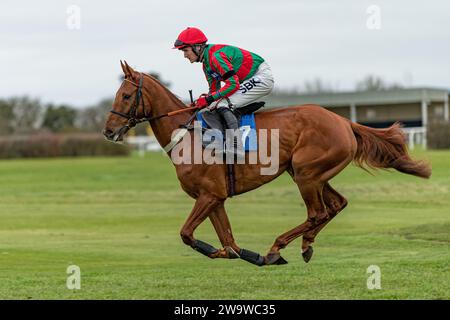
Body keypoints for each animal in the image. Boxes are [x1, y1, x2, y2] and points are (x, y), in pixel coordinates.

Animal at [103, 61, 430, 266]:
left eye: (127, 95)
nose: (108, 131)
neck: (187, 133)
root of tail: (343, 121)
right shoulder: (215, 198)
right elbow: (229, 243)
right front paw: (246, 255)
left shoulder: (209, 195)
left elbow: (189, 235)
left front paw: (252, 254)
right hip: (311, 174)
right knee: (336, 205)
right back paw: (305, 245)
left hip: (307, 174)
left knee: (317, 213)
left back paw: (277, 248)